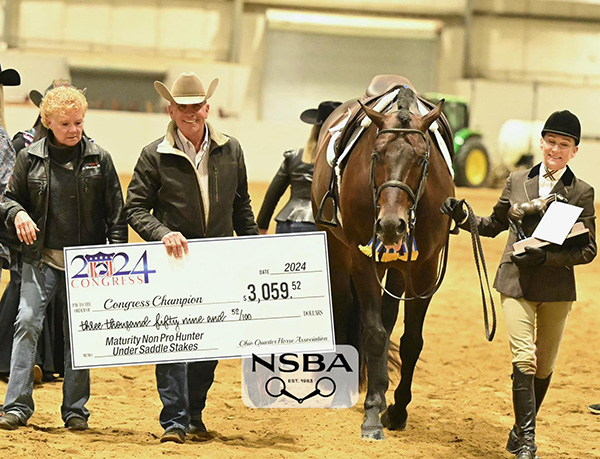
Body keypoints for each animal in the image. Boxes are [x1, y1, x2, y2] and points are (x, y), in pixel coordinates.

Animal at [311, 76, 455, 440]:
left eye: (422, 159)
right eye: (376, 155)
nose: (391, 225)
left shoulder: (424, 268)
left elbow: (411, 341)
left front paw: (397, 409)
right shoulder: (362, 260)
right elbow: (374, 333)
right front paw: (373, 412)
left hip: (398, 268)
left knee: (390, 320)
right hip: (336, 249)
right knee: (345, 307)